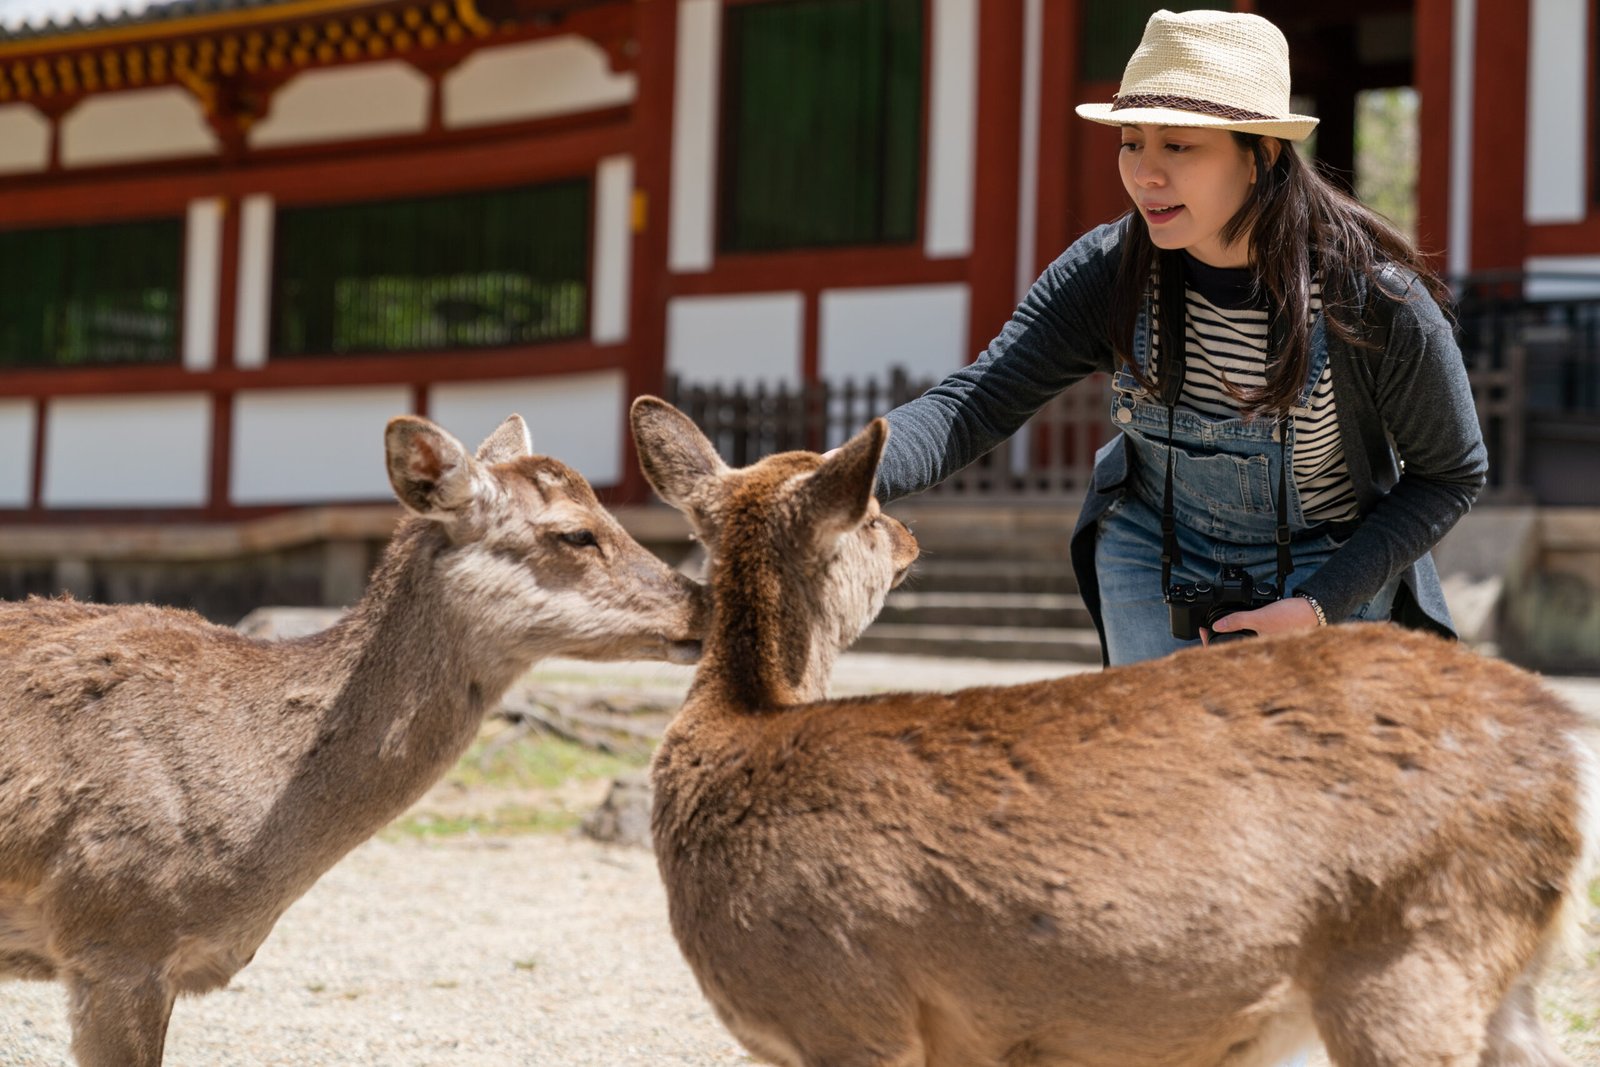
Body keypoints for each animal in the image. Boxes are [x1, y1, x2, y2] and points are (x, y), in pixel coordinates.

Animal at [629, 394, 1600, 1067]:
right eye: (870, 515)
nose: (907, 533)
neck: (740, 730)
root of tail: (1566, 747)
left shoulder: (848, 1005)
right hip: (1496, 971)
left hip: (1414, 945)